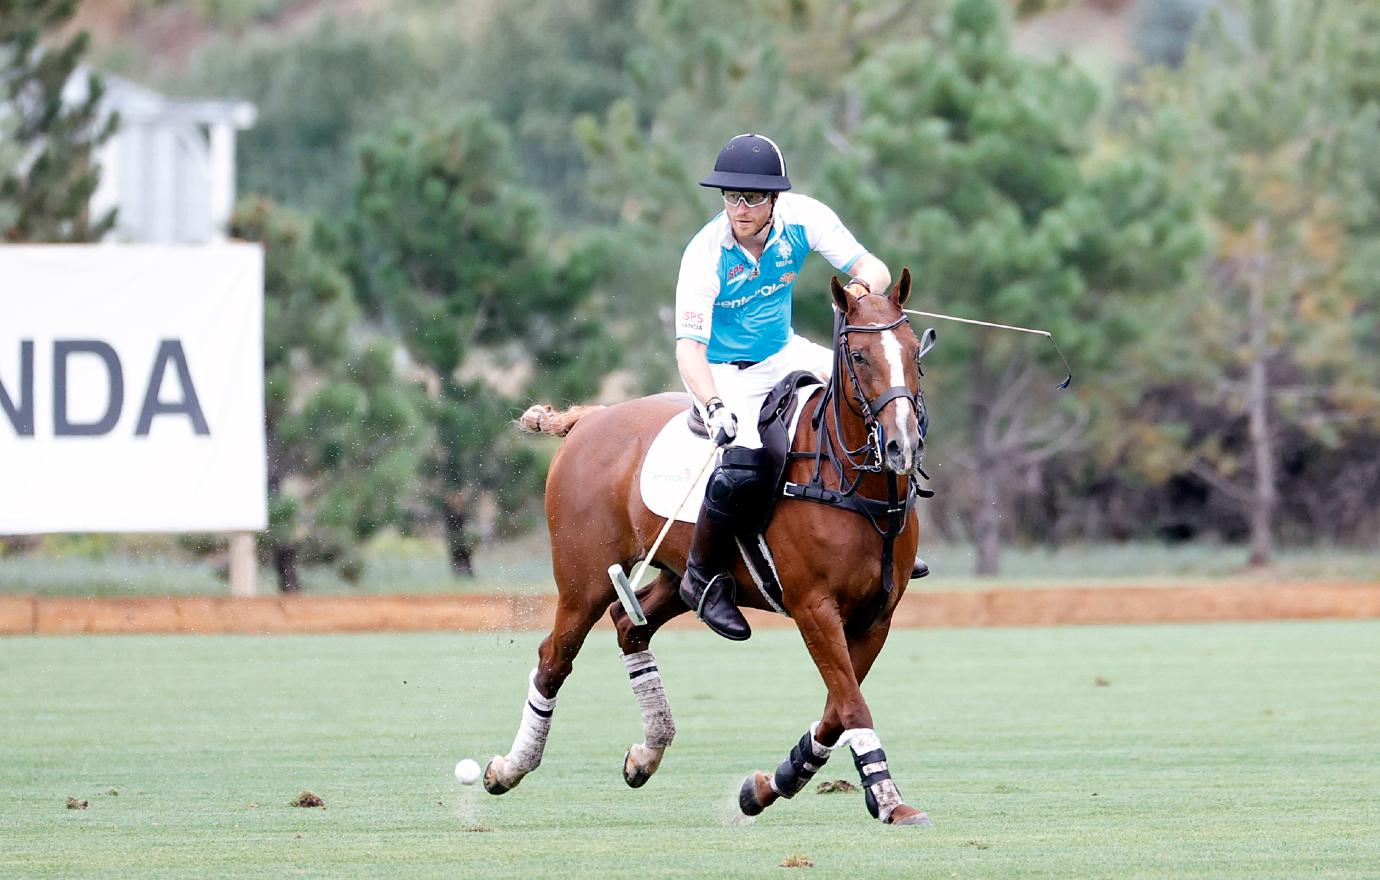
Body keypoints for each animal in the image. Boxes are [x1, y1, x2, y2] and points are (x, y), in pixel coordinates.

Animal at [488, 268, 938, 827]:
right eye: (857, 356)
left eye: (913, 353)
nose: (902, 445)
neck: (847, 479)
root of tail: (590, 419)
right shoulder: (814, 606)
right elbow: (851, 703)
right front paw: (890, 799)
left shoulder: (877, 615)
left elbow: (836, 710)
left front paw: (766, 786)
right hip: (582, 580)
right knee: (555, 656)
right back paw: (507, 768)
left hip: (674, 577)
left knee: (631, 624)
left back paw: (647, 753)